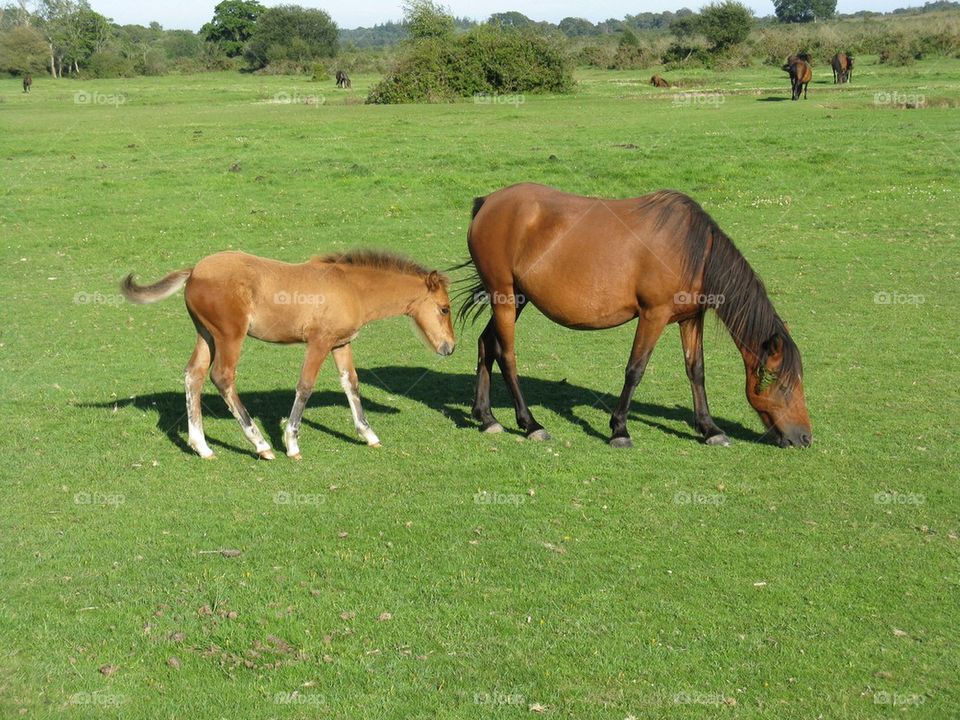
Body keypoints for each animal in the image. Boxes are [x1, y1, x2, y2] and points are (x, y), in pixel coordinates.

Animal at [121, 250, 458, 458]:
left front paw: (369, 435)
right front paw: (291, 443)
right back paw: (260, 444)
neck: (351, 287)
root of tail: (194, 271)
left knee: (194, 376)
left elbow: (351, 383)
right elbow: (305, 386)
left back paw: (202, 447)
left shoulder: (341, 344)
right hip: (230, 337)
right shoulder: (319, 343)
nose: (450, 347)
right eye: (444, 309)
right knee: (222, 377)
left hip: (206, 335)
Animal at [456, 183, 808, 448]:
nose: (805, 438)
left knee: (486, 344)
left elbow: (696, 371)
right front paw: (619, 429)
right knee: (506, 355)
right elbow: (635, 370)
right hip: (504, 296)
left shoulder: (691, 318)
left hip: (516, 298)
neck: (692, 250)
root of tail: (488, 203)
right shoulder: (653, 316)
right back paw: (530, 424)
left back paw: (486, 417)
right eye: (782, 385)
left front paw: (710, 428)